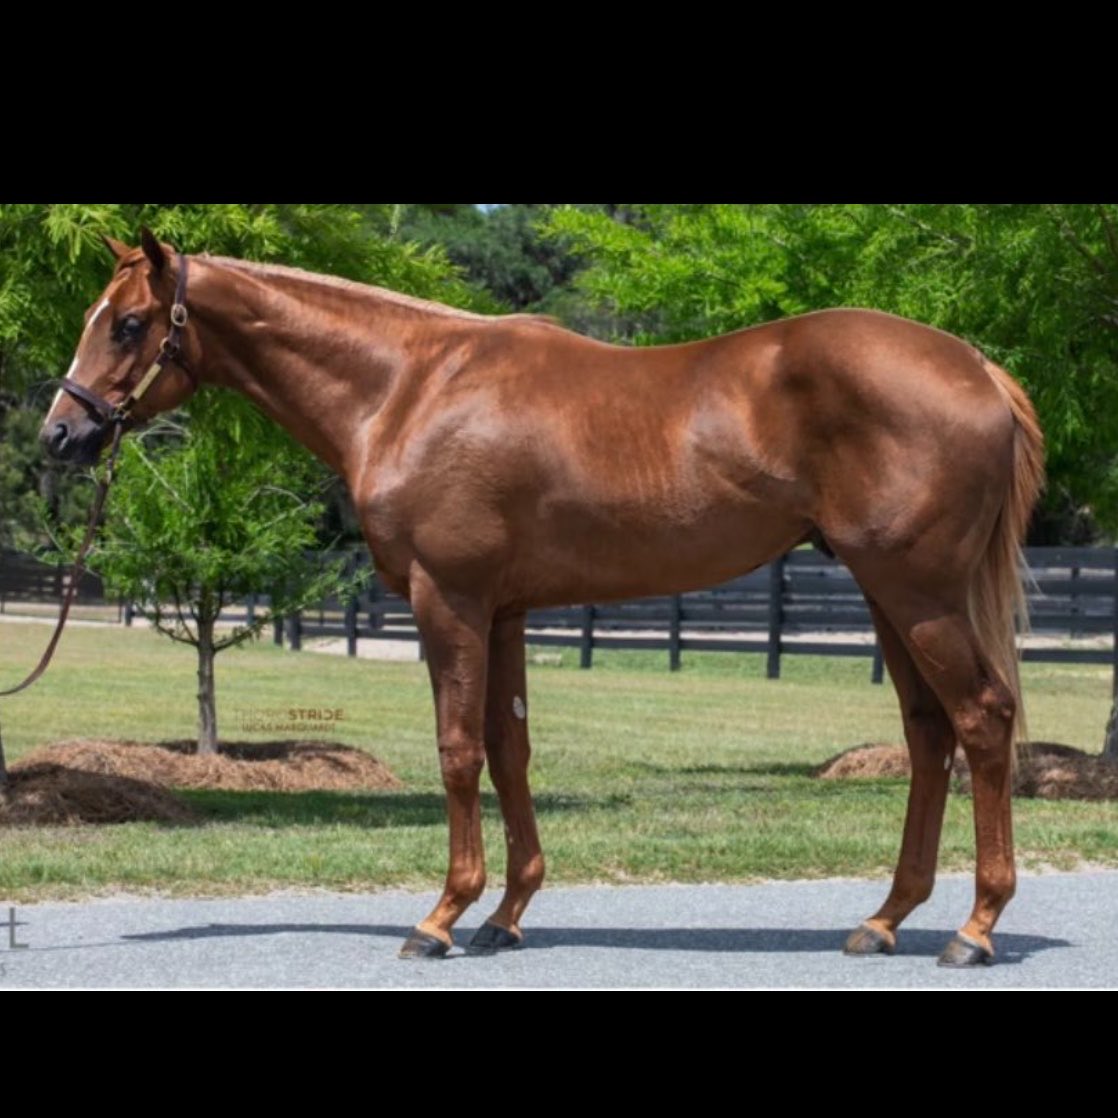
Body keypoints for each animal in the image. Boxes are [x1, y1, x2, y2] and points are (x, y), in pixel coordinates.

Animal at [40, 229, 1044, 967]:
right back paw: (885, 919)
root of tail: (977, 368)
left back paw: (974, 929)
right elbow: (509, 749)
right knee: (929, 734)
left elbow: (456, 752)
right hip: (888, 594)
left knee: (982, 719)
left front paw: (440, 917)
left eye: (129, 323)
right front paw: (505, 913)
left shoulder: (447, 600)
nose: (60, 435)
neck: (407, 388)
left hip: (917, 590)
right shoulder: (504, 610)